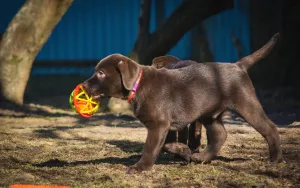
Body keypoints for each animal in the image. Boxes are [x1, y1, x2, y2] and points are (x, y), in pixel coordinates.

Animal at [83, 33, 282, 173]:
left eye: (101, 73)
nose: (84, 85)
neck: (137, 85)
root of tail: (238, 65)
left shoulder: (159, 125)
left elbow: (151, 147)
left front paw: (140, 168)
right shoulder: (166, 126)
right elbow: (167, 145)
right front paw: (185, 151)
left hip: (246, 105)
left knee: (270, 128)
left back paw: (275, 159)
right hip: (209, 113)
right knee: (220, 135)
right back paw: (201, 157)